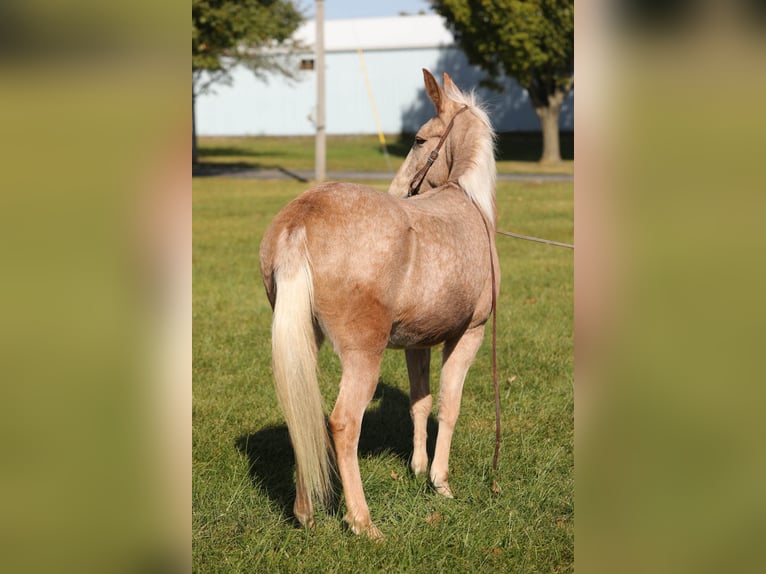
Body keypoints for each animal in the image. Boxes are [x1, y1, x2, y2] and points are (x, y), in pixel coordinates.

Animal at [260, 71, 498, 540]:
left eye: (420, 140)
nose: (400, 190)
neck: (466, 202)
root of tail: (301, 217)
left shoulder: (418, 342)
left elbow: (421, 401)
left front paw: (418, 468)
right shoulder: (470, 334)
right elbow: (450, 404)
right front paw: (440, 482)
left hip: (306, 339)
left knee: (303, 415)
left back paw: (305, 513)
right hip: (363, 354)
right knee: (342, 424)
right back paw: (363, 523)